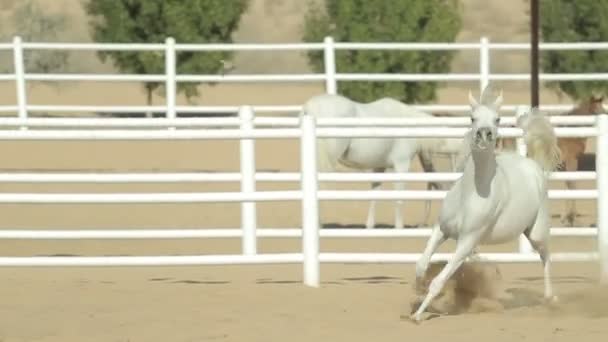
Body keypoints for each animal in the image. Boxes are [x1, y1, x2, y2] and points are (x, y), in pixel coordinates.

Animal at [302, 92, 458, 228]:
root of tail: (311, 107)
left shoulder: (379, 167)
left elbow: (374, 195)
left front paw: (369, 226)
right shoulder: (401, 165)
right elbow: (399, 198)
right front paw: (399, 228)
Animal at [408, 85, 560, 324]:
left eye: (497, 119)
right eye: (473, 118)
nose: (484, 135)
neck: (470, 194)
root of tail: (533, 165)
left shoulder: (466, 243)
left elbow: (439, 281)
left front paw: (417, 315)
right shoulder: (441, 229)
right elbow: (421, 265)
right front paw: (417, 293)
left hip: (537, 232)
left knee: (546, 257)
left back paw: (550, 299)